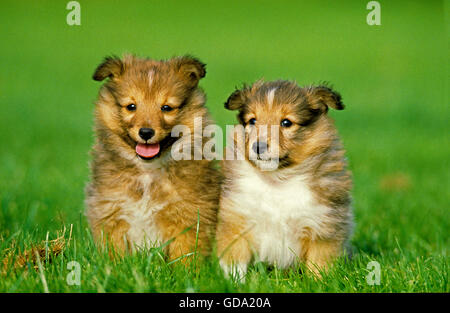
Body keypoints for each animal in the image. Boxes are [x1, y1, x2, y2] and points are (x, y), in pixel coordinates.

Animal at [85, 54, 221, 260]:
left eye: (166, 107)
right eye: (131, 106)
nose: (146, 132)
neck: (148, 172)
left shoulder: (188, 217)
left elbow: (185, 257)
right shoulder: (111, 213)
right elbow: (114, 254)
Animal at [216, 79, 354, 276]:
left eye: (286, 122)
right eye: (252, 121)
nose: (258, 147)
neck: (278, 179)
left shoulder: (322, 227)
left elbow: (319, 264)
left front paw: (319, 280)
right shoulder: (237, 219)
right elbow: (234, 261)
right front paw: (232, 280)